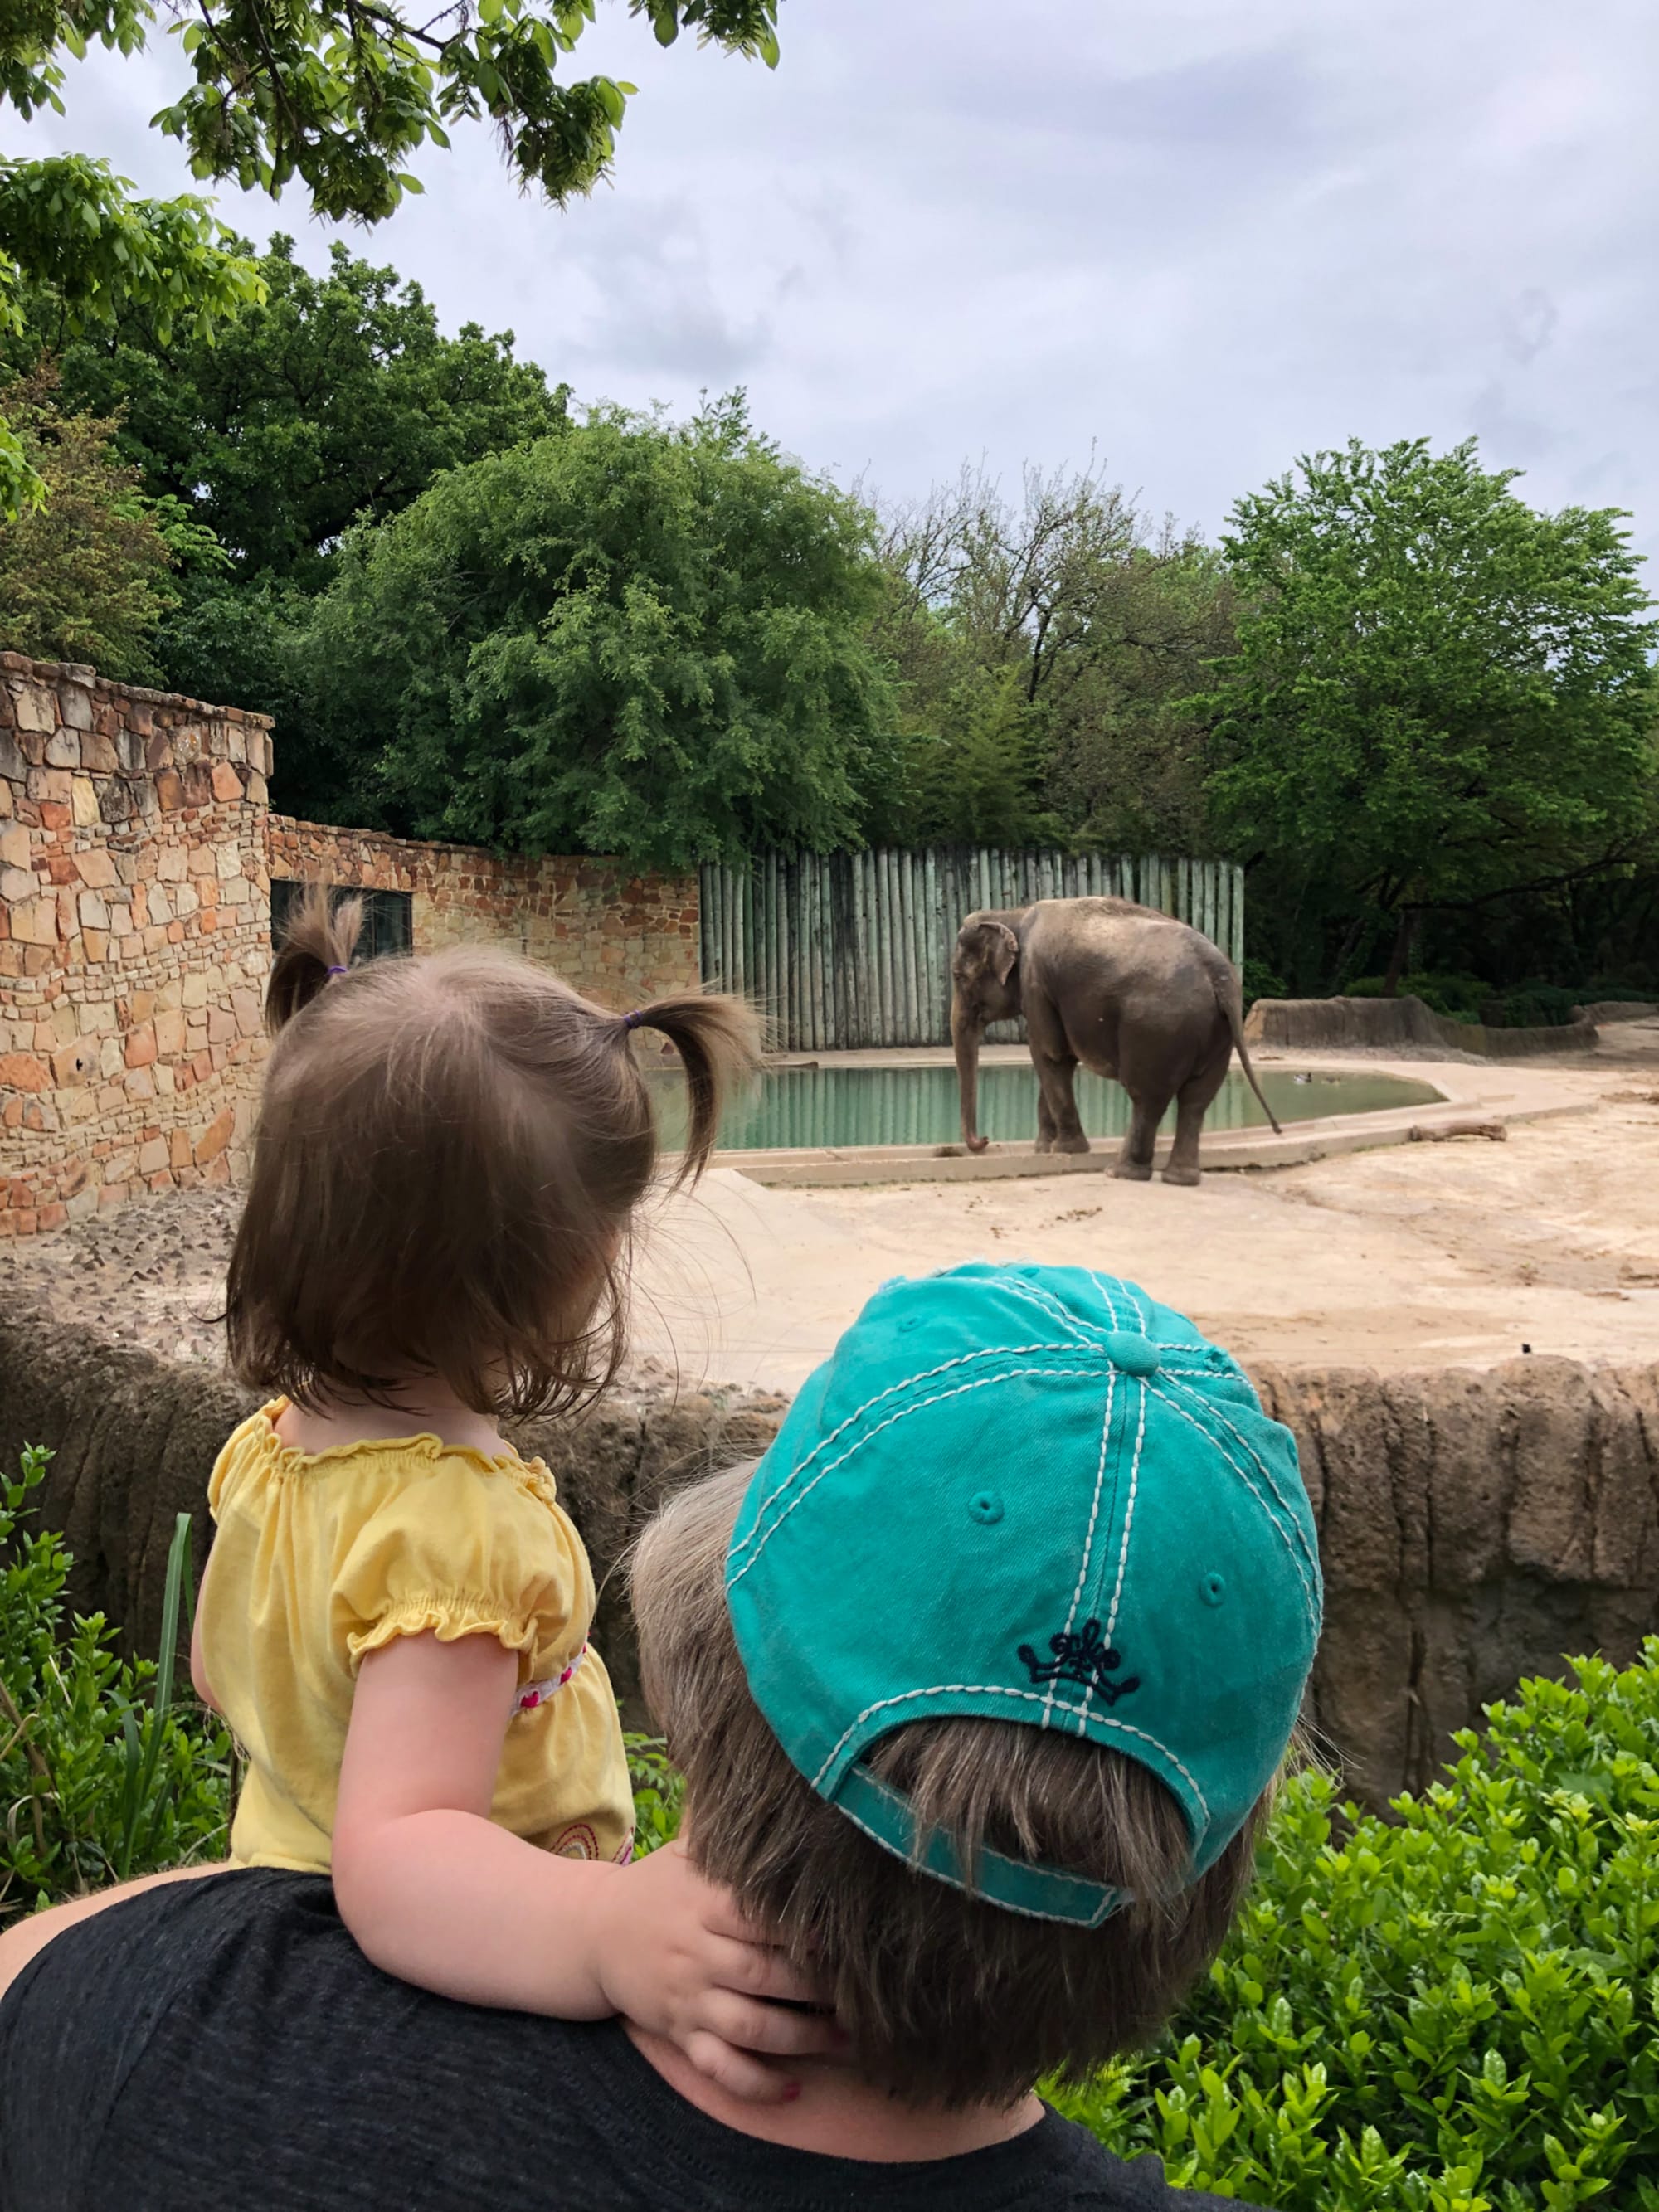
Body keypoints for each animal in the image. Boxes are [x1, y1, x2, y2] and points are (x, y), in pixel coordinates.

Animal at [950, 896, 1281, 1186]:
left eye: (958, 977)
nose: (986, 1140)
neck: (1013, 914)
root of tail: (1219, 974)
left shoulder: (1036, 983)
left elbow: (1050, 1054)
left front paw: (1064, 1149)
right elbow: (1056, 1061)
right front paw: (1043, 1149)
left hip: (1156, 1027)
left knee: (1148, 1097)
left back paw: (1120, 1172)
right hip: (1215, 1032)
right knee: (1196, 1100)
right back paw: (1180, 1179)